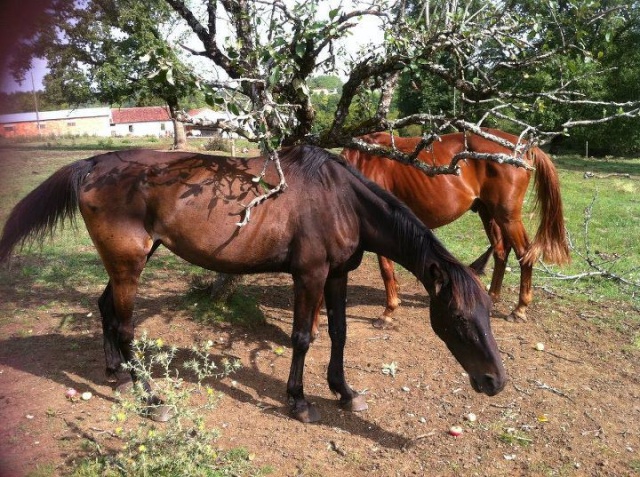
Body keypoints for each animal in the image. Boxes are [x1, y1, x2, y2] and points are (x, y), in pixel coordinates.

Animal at [1, 144, 510, 420]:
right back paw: (151, 397)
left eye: (488, 312)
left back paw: (118, 376)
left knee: (105, 308)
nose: (494, 381)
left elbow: (340, 333)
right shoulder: (310, 275)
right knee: (125, 326)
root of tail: (94, 163)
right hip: (129, 265)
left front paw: (345, 393)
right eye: (458, 319)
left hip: (130, 260)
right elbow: (303, 337)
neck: (340, 198)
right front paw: (298, 401)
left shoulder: (337, 276)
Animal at [342, 129, 572, 324]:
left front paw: (388, 312)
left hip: (508, 216)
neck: (362, 161)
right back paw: (491, 299)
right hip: (487, 212)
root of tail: (523, 146)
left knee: (524, 254)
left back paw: (519, 309)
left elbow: (386, 269)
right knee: (500, 252)